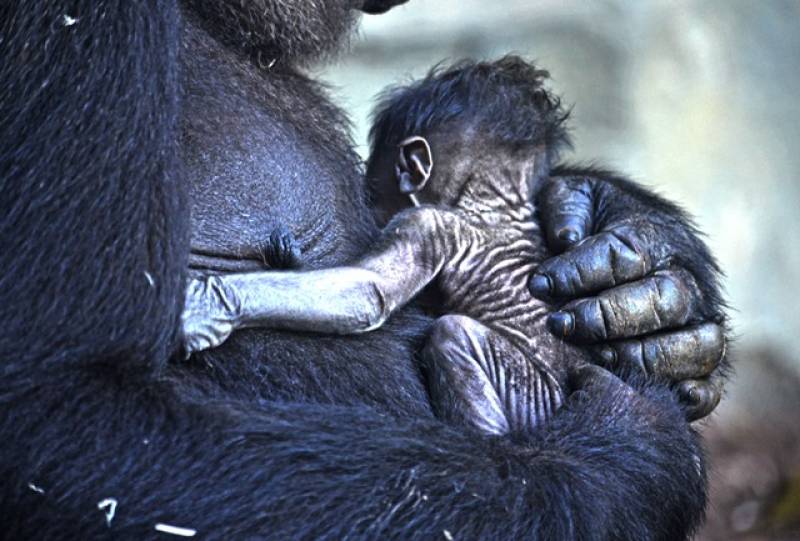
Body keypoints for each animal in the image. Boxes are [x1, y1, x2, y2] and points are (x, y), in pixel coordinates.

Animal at [184, 57, 592, 432]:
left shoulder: (423, 224)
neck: (493, 199)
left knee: (452, 335)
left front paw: (211, 305)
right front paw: (282, 255)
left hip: (536, 398)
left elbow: (369, 291)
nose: (370, 193)